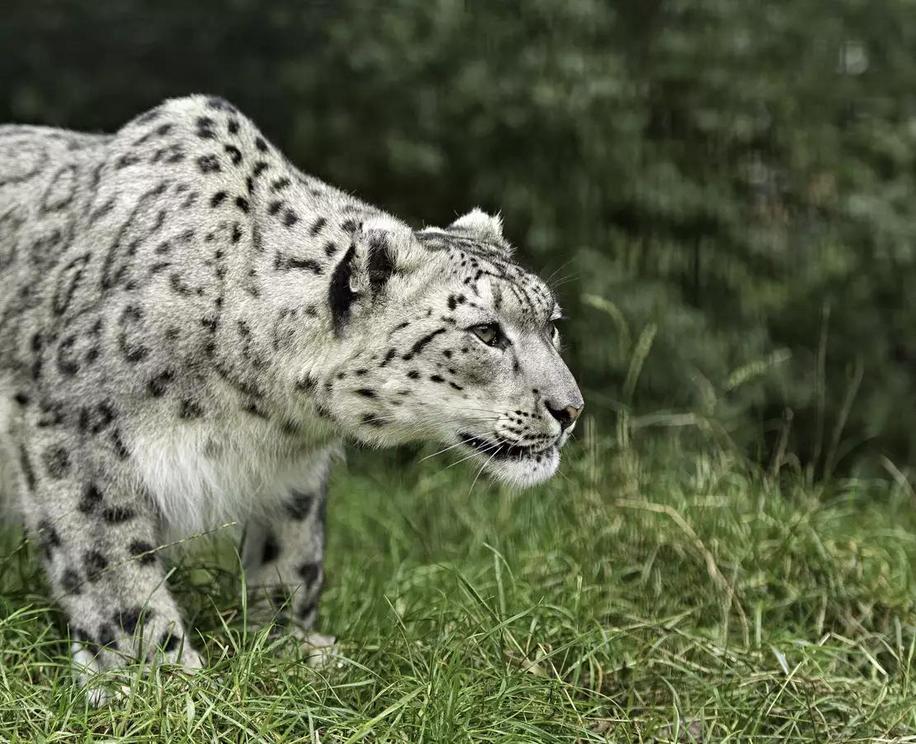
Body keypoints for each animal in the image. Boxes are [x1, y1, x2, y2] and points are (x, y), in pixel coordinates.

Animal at [0, 94, 588, 696]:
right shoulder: (73, 429)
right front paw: (159, 674)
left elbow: (291, 551)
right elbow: (110, 560)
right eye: (486, 332)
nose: (570, 409)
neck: (256, 411)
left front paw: (289, 649)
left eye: (552, 324)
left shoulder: (294, 470)